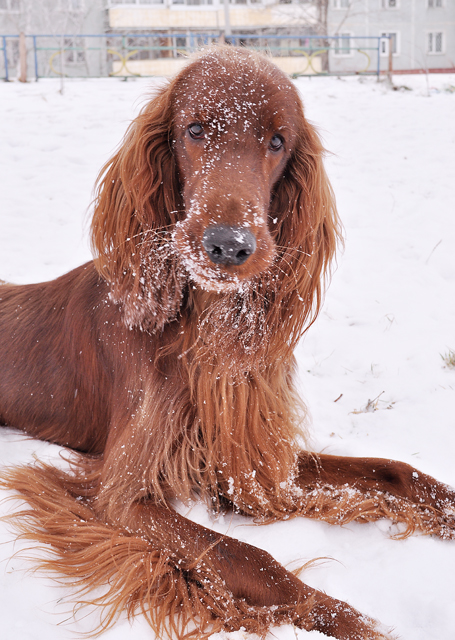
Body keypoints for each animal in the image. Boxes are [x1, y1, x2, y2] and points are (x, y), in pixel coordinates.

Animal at [0, 46, 454, 640]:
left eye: (278, 141)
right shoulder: (122, 495)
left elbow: (389, 469)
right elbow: (245, 558)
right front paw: (350, 621)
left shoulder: (246, 458)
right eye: (193, 129)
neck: (204, 327)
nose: (228, 246)